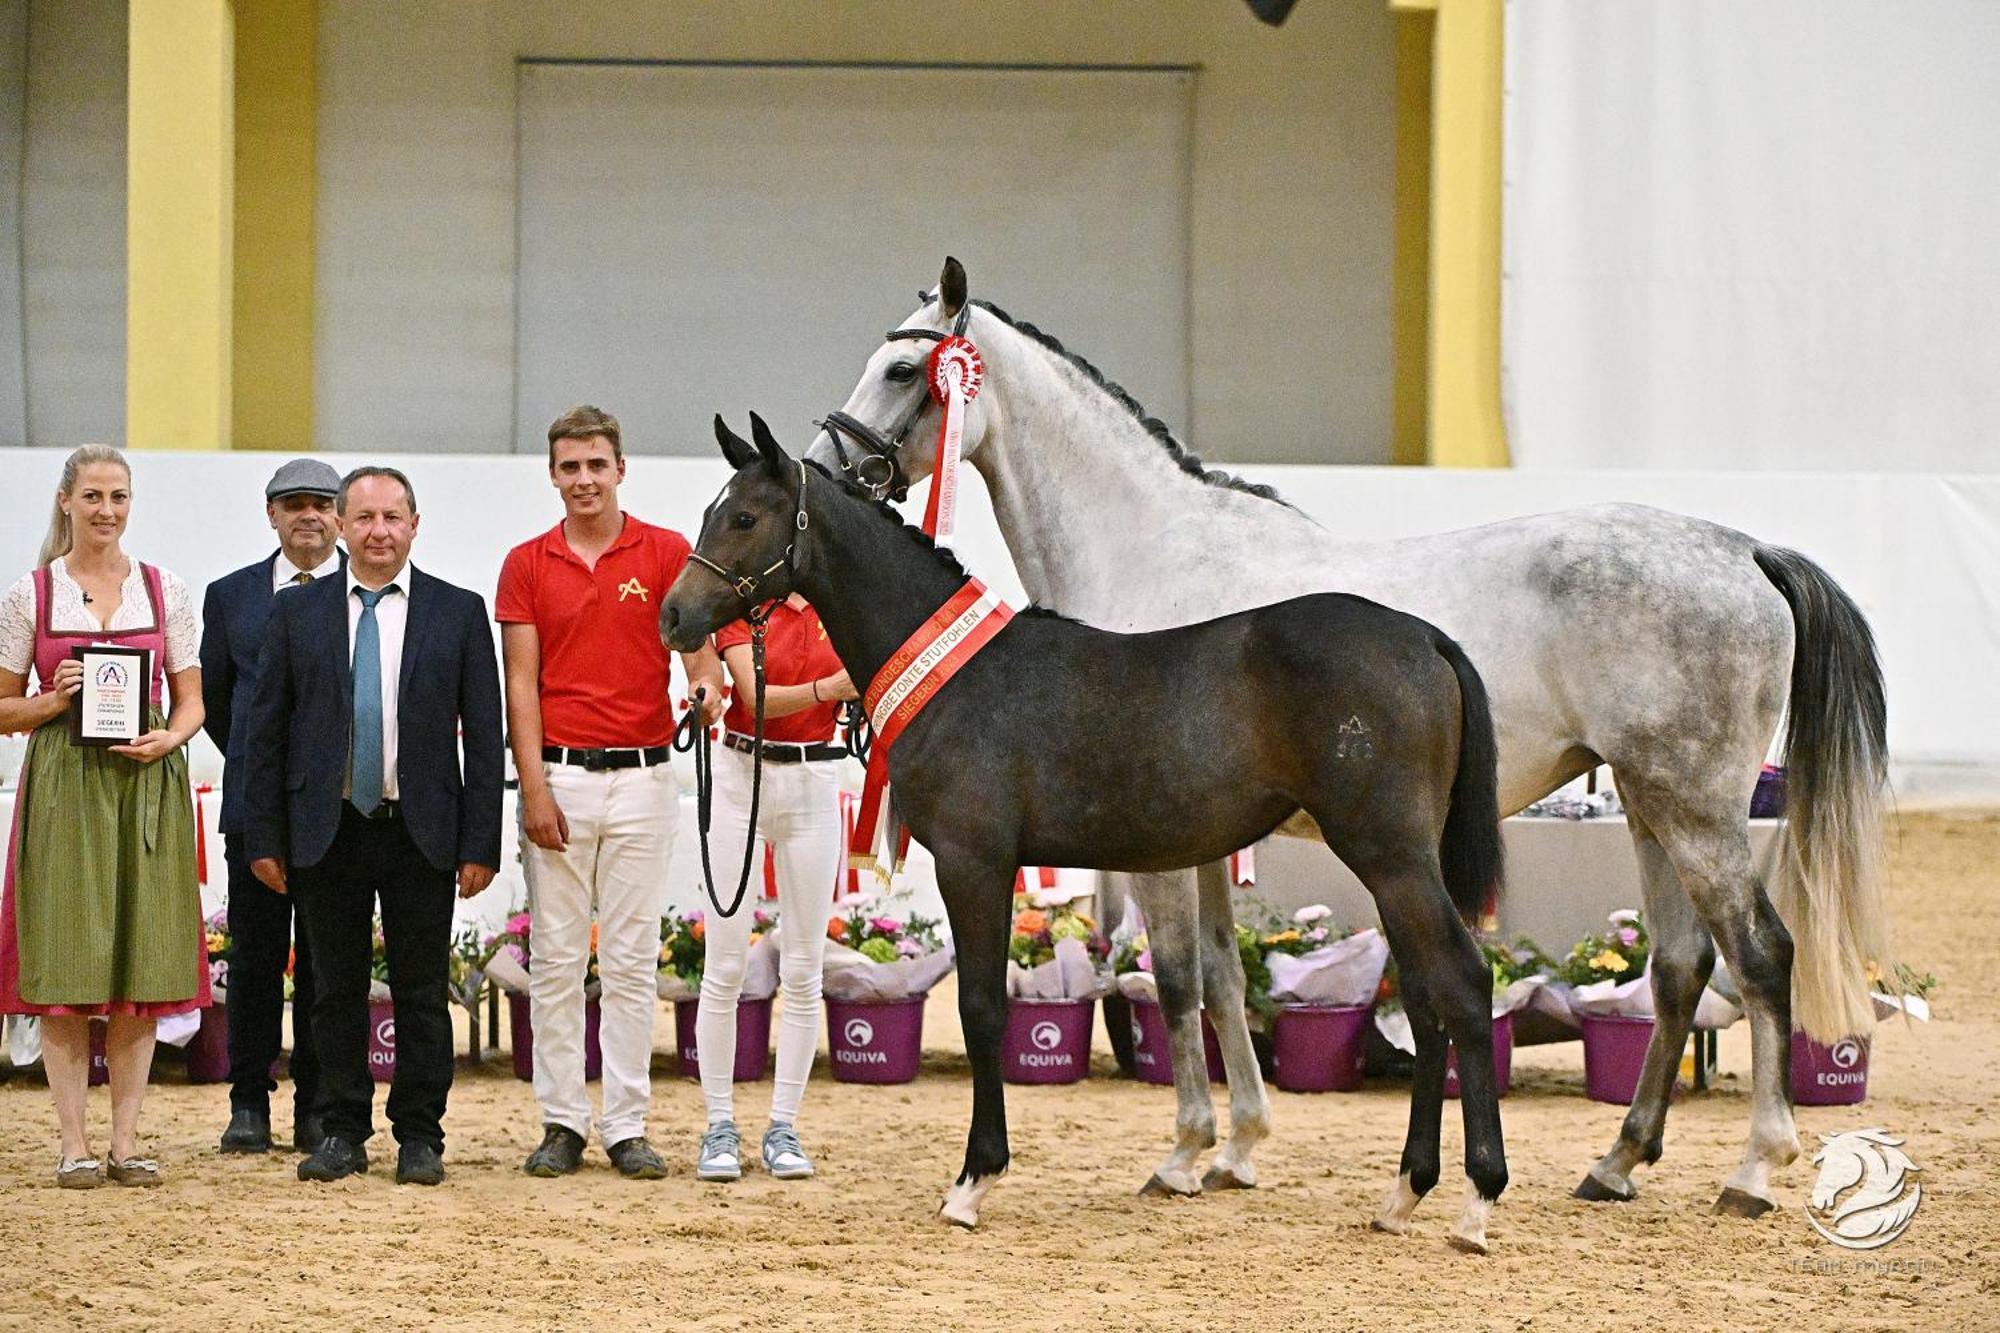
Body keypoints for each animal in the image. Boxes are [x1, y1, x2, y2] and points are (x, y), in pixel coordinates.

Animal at [800, 256, 1888, 1224]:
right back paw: (1616, 1161)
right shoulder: (1200, 838)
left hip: (1695, 809)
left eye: (902, 370)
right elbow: (1223, 979)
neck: (1155, 548)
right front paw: (1235, 1147)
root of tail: (1744, 551)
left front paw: (1185, 1152)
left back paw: (1752, 1168)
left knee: (1760, 956)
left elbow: (1178, 978)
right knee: (1678, 969)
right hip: (1649, 803)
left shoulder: (1158, 850)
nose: (824, 472)